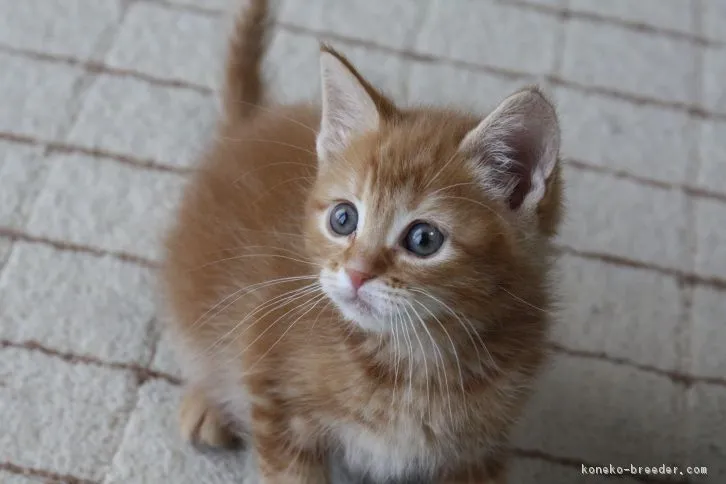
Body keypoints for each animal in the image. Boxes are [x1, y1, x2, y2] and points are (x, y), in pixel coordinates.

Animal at [162, 0, 564, 484]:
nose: (355, 274)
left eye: (424, 239)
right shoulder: (275, 393)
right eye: (343, 218)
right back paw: (208, 402)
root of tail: (250, 123)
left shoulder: (480, 447)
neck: (413, 362)